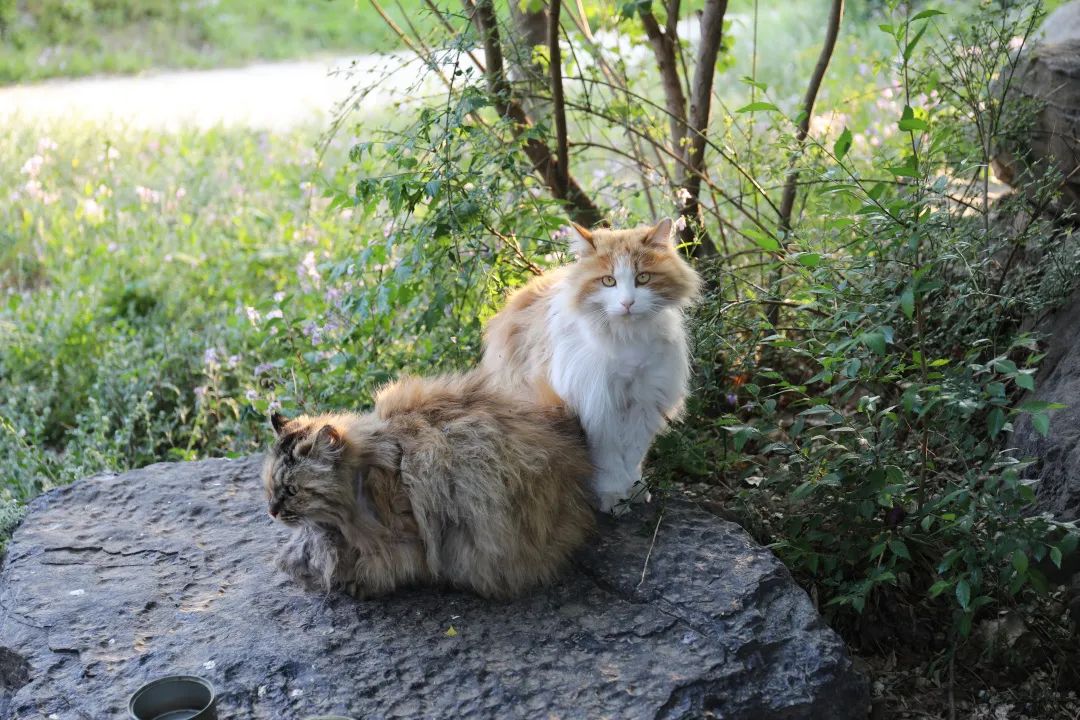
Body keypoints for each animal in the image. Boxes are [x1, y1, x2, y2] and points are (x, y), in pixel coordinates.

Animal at [481, 218, 701, 513]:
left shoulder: (644, 400)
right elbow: (609, 460)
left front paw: (634, 489)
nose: (628, 303)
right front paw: (612, 496)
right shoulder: (598, 404)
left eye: (643, 278)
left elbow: (632, 456)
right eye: (608, 281)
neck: (627, 339)